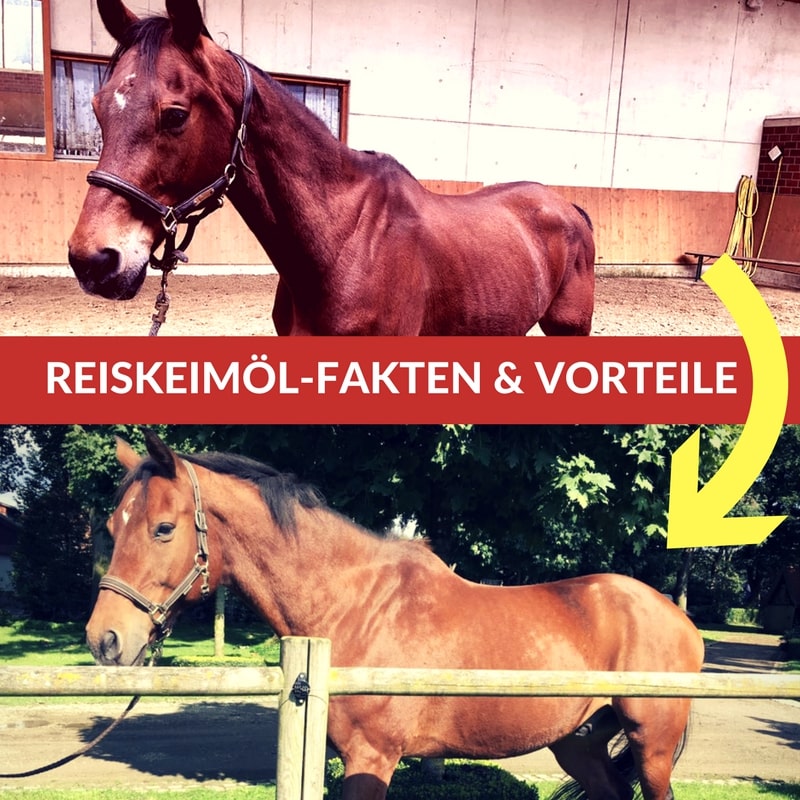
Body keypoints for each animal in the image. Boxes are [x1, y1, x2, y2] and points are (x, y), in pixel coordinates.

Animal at [86, 430, 704, 800]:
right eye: (113, 526)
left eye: (163, 528)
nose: (104, 639)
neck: (353, 606)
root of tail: (678, 618)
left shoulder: (372, 758)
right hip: (579, 742)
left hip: (651, 746)